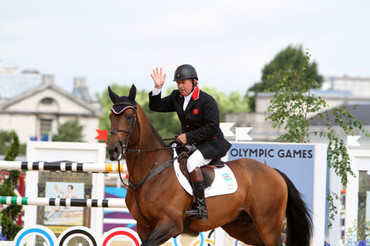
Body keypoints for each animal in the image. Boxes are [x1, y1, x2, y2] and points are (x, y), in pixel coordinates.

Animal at [107, 85, 312, 246]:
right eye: (110, 116)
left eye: (129, 116)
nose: (113, 150)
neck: (152, 171)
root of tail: (274, 172)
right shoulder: (143, 226)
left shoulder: (170, 224)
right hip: (240, 225)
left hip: (268, 225)